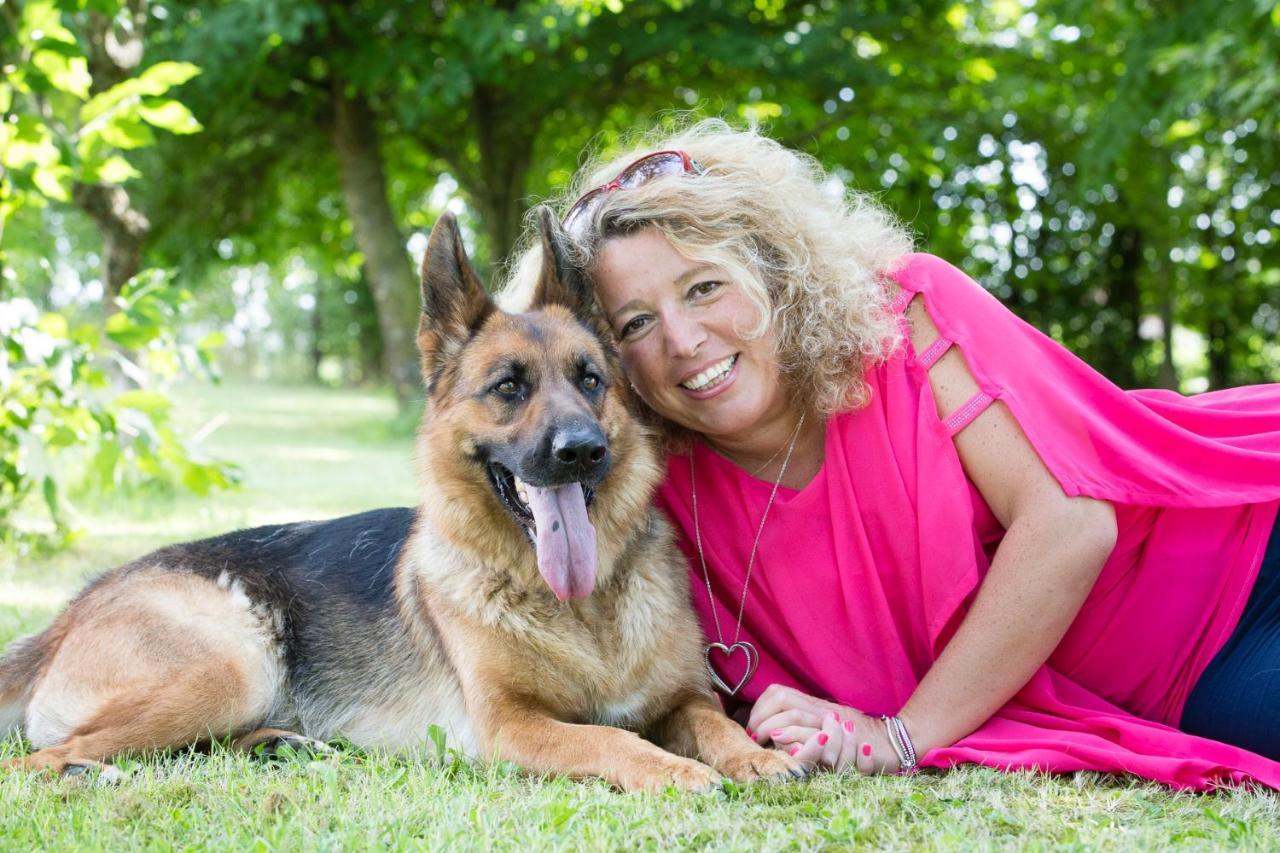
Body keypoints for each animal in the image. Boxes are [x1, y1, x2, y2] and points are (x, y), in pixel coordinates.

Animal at [0, 207, 798, 788]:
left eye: (591, 379)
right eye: (508, 387)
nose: (581, 450)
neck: (585, 611)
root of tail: (70, 612)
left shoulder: (683, 698)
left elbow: (716, 722)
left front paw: (754, 755)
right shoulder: (513, 726)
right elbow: (611, 738)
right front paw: (675, 770)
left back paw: (277, 744)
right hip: (229, 663)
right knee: (37, 758)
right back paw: (86, 772)